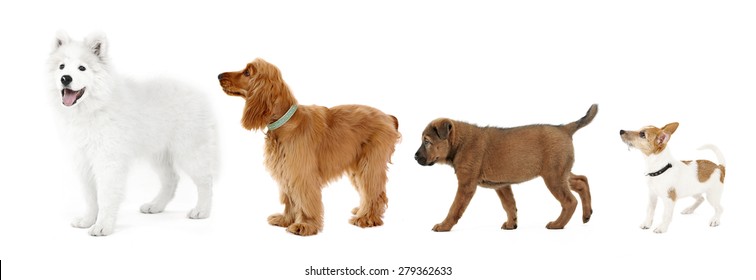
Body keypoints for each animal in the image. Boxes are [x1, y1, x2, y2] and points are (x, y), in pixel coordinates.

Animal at [48, 31, 217, 236]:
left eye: (82, 68)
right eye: (61, 66)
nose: (65, 78)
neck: (94, 108)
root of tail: (199, 93)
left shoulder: (108, 161)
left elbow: (105, 196)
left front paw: (103, 226)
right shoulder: (84, 161)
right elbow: (90, 196)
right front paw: (87, 220)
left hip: (190, 151)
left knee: (205, 181)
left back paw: (201, 210)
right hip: (158, 153)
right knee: (171, 179)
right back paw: (155, 206)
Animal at [217, 58, 398, 236]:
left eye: (247, 73)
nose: (219, 75)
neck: (286, 121)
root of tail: (388, 117)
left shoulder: (301, 173)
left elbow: (304, 200)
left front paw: (304, 225)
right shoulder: (286, 170)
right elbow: (290, 199)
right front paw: (286, 219)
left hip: (369, 165)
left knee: (375, 193)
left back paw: (366, 218)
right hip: (357, 166)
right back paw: (361, 210)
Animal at [414, 104, 596, 231]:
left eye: (427, 141)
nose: (415, 157)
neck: (459, 142)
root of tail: (564, 127)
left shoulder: (466, 185)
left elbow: (454, 208)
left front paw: (444, 226)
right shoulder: (502, 185)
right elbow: (509, 205)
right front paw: (511, 224)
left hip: (554, 177)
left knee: (570, 201)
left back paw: (558, 224)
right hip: (560, 173)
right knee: (582, 180)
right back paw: (587, 215)